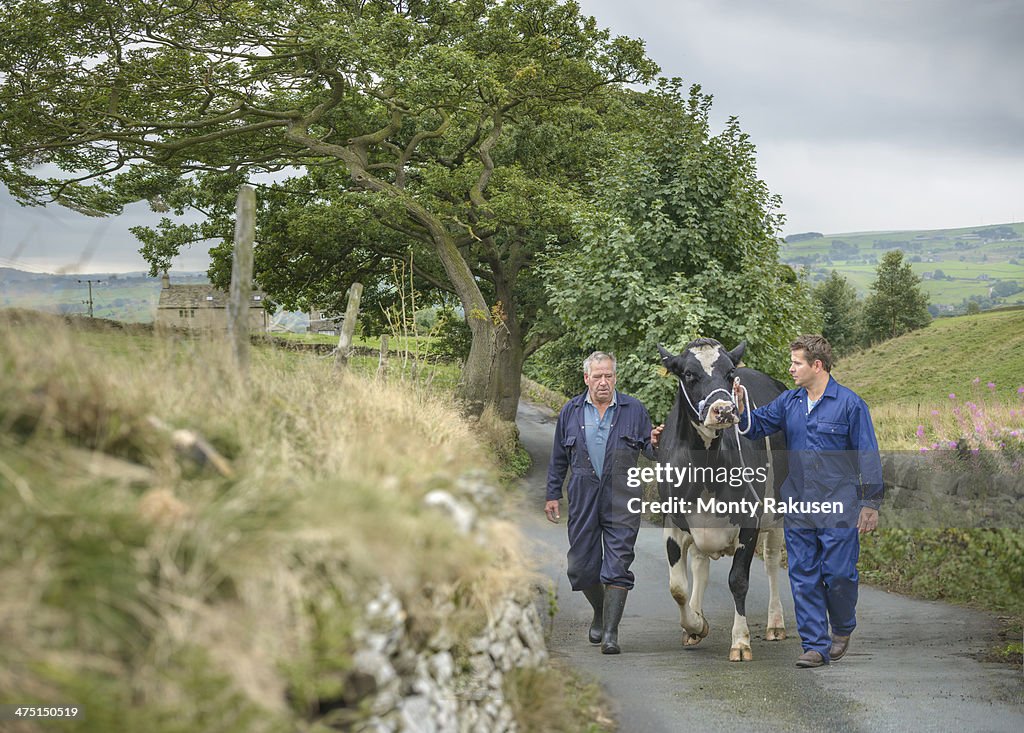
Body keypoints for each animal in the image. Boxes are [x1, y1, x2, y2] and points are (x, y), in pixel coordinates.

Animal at [655, 339, 790, 663]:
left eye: (730, 373)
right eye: (689, 374)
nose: (725, 410)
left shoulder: (750, 521)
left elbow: (738, 580)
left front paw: (740, 641)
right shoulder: (672, 521)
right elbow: (677, 587)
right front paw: (695, 623)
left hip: (778, 511)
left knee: (771, 563)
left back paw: (775, 623)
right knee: (700, 565)